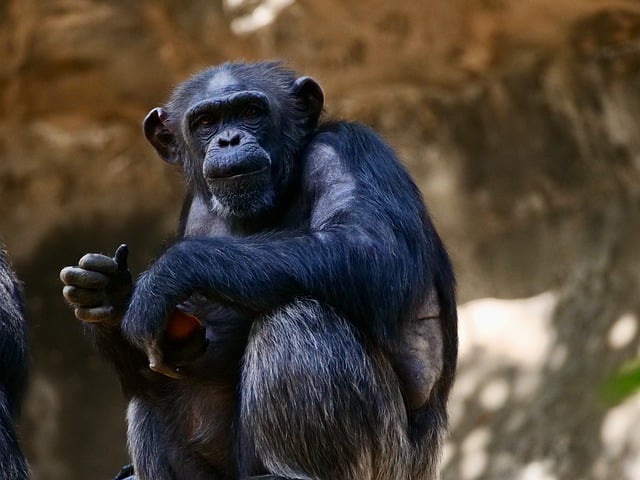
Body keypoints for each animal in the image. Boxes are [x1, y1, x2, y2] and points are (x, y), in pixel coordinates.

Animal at [60, 62, 458, 480]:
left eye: (251, 112)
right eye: (206, 122)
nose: (229, 140)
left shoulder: (351, 150)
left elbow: (373, 248)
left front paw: (164, 278)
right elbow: (176, 355)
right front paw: (110, 297)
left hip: (390, 463)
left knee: (298, 316)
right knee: (153, 388)